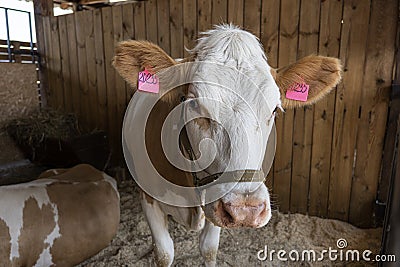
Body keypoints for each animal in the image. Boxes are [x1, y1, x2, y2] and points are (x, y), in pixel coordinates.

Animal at [112, 24, 340, 266]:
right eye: (193, 103)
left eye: (274, 109)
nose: (245, 209)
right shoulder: (148, 199)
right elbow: (164, 253)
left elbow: (209, 249)